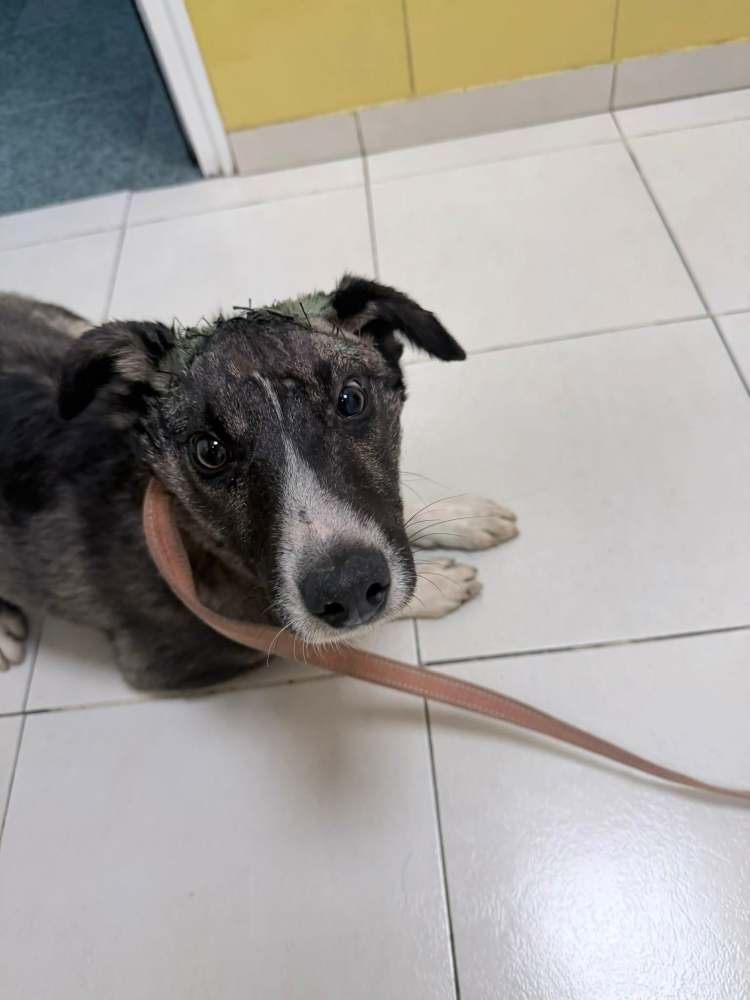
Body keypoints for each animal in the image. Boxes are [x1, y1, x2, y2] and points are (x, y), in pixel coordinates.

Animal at [0, 277, 517, 689]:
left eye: (350, 400)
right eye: (209, 451)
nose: (348, 589)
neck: (195, 541)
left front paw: (463, 518)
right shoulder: (183, 657)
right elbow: (311, 637)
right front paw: (437, 587)